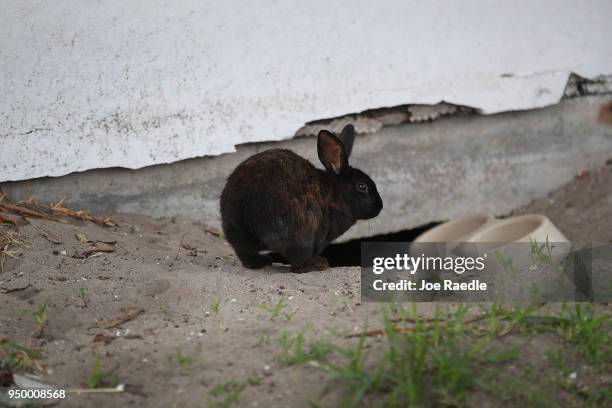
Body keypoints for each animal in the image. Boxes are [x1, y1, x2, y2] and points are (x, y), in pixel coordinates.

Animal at [220, 122, 382, 272]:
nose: (379, 206)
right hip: (305, 229)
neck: (334, 197)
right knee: (297, 264)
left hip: (236, 231)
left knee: (245, 254)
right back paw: (319, 264)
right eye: (362, 187)